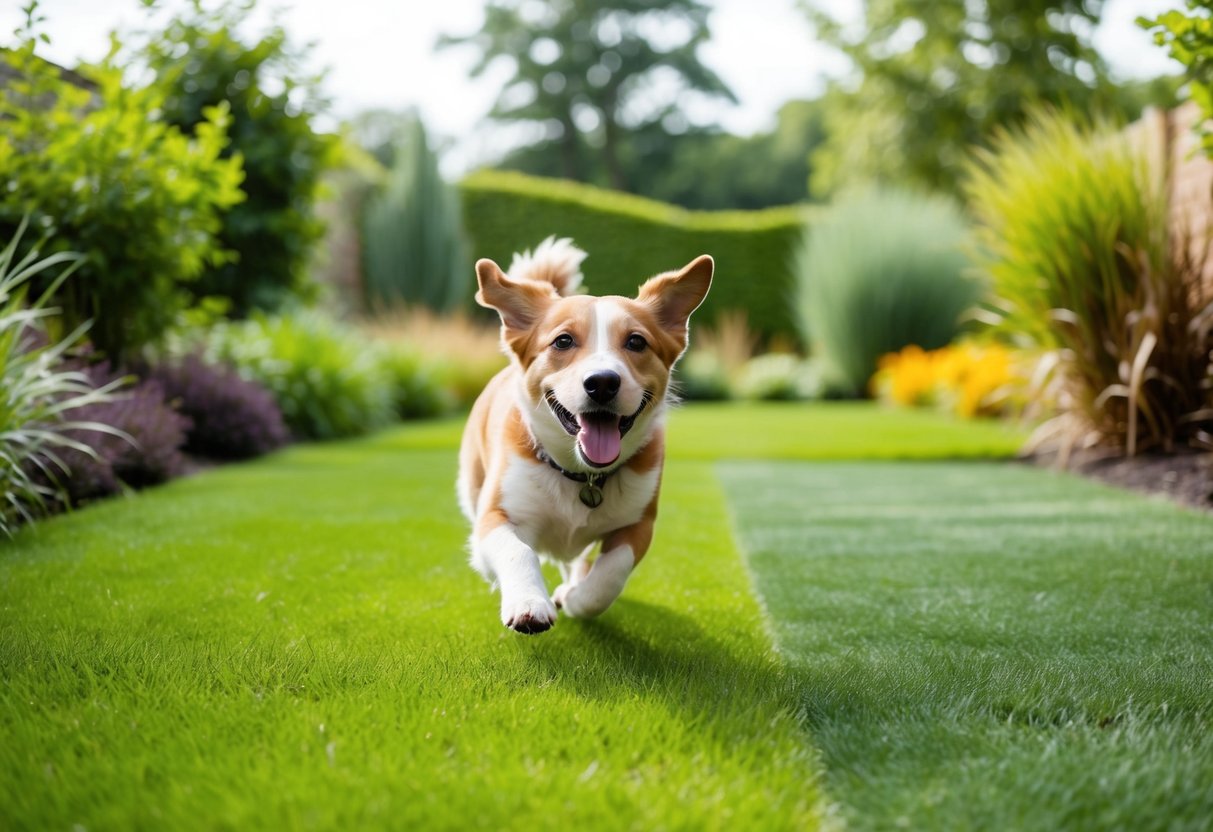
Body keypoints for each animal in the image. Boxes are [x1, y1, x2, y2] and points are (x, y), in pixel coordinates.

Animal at [458, 237, 713, 635]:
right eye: (563, 341)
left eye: (636, 342)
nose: (603, 382)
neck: (582, 474)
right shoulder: (495, 517)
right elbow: (517, 551)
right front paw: (528, 602)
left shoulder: (639, 524)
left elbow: (611, 571)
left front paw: (579, 598)